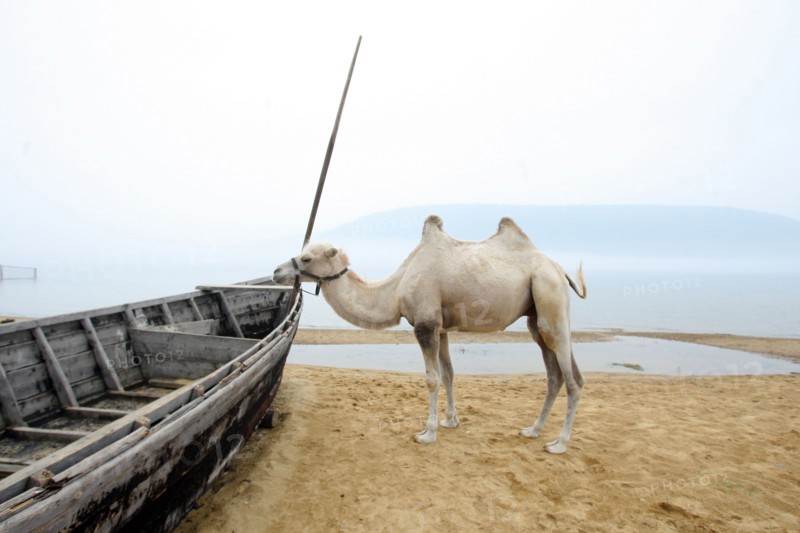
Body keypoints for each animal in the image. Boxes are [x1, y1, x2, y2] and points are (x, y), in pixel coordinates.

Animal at [273, 215, 587, 454]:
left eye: (306, 258)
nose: (276, 271)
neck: (396, 289)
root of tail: (560, 269)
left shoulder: (424, 324)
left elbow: (431, 379)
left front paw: (428, 433)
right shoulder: (441, 327)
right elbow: (448, 373)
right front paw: (450, 421)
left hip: (550, 298)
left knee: (573, 379)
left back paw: (559, 443)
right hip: (536, 317)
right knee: (555, 375)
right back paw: (533, 430)